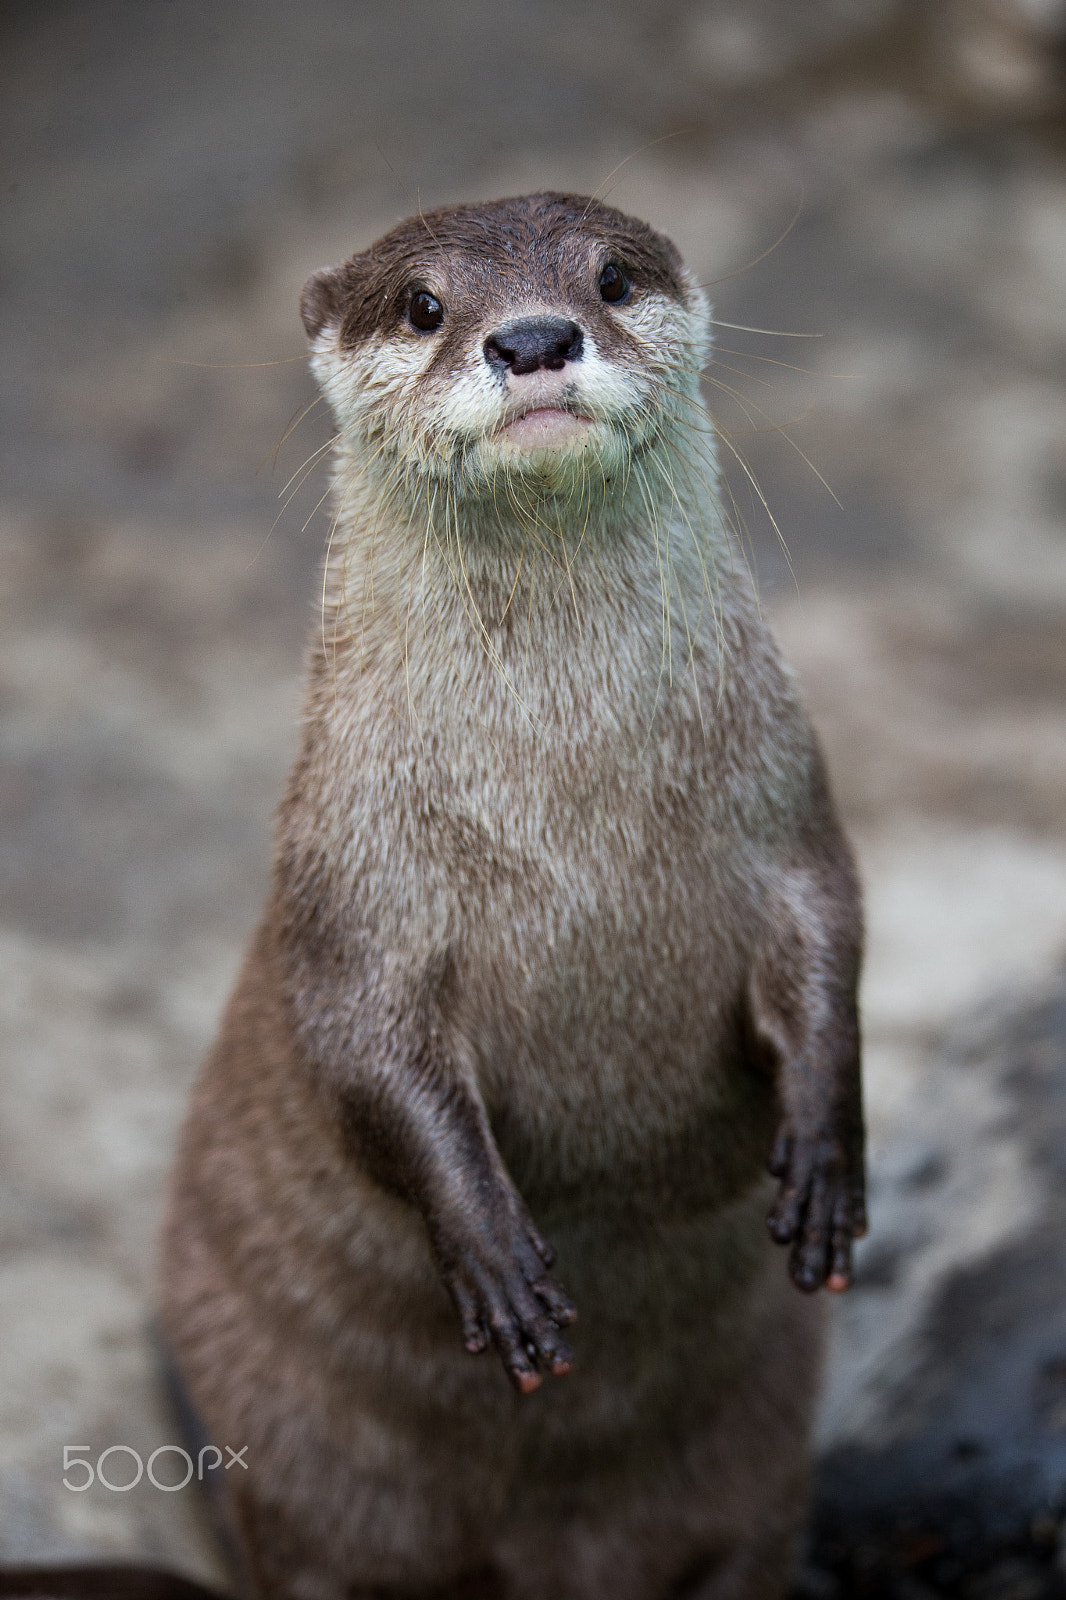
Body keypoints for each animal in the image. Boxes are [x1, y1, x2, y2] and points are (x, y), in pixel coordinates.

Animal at [157, 192, 865, 1600]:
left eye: (612, 276)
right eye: (425, 304)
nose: (532, 337)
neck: (568, 801)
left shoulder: (782, 802)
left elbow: (834, 931)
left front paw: (824, 1149)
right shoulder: (353, 875)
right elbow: (361, 1049)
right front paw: (496, 1260)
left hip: (755, 1475)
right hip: (288, 1478)